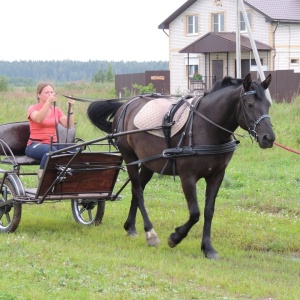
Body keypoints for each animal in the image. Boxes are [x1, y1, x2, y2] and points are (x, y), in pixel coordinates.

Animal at [86, 73, 274, 258]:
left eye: (268, 104)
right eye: (249, 105)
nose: (269, 138)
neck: (206, 126)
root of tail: (126, 105)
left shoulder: (217, 175)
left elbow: (208, 211)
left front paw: (208, 248)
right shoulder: (188, 177)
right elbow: (195, 213)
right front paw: (175, 237)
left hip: (147, 163)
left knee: (137, 190)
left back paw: (130, 226)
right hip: (129, 156)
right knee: (138, 191)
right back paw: (150, 233)